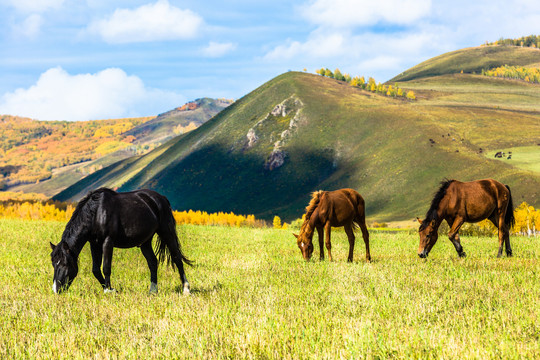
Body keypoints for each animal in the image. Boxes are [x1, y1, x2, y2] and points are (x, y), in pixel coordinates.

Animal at [49, 187, 192, 294]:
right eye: (54, 264)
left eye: (65, 264)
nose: (56, 290)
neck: (96, 213)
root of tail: (161, 198)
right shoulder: (94, 244)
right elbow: (96, 270)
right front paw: (109, 288)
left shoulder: (108, 242)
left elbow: (106, 267)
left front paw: (109, 290)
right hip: (145, 242)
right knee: (152, 262)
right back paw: (153, 291)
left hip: (167, 233)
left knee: (177, 259)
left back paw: (186, 289)